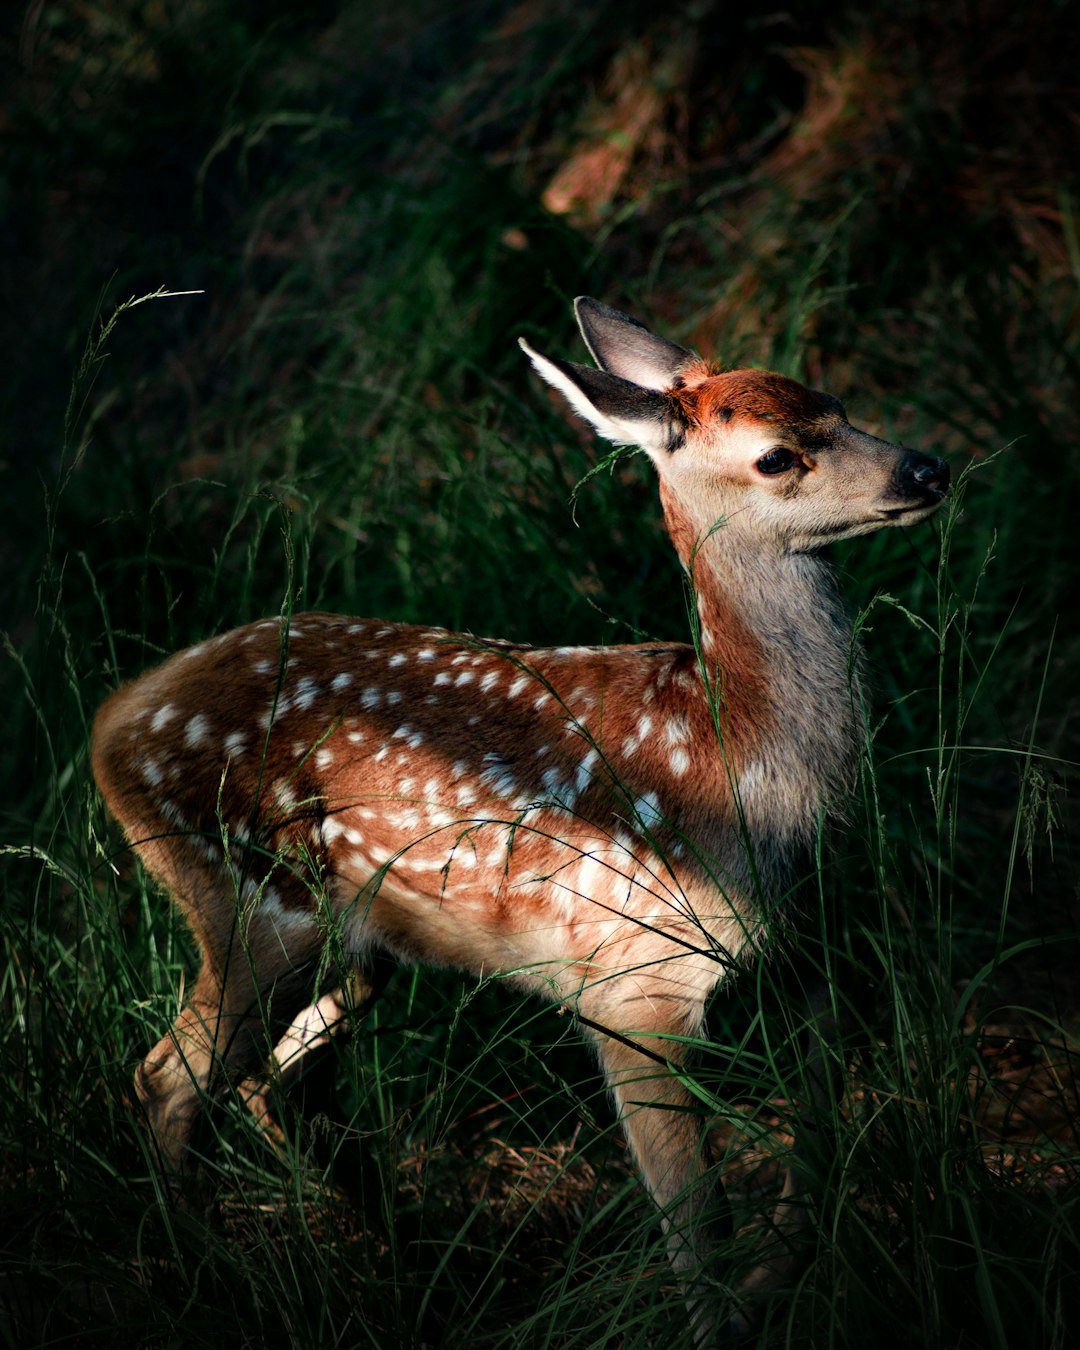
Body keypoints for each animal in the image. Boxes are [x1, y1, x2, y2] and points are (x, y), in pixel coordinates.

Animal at [91, 297, 949, 1342]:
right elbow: (695, 1220)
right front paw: (725, 1314)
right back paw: (213, 1284)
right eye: (777, 455)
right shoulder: (632, 983)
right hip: (249, 902)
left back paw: (414, 1264)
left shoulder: (804, 950)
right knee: (168, 1081)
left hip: (358, 943)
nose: (928, 468)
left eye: (836, 402)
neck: (738, 772)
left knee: (281, 1079)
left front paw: (778, 1283)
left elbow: (822, 1135)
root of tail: (112, 722)